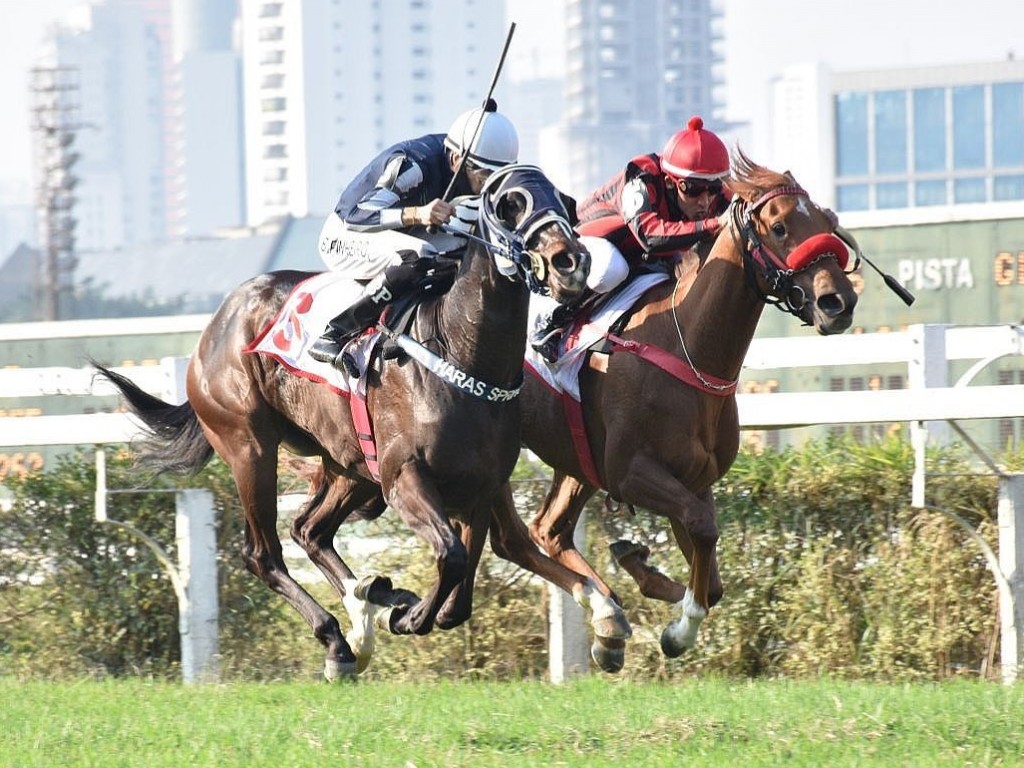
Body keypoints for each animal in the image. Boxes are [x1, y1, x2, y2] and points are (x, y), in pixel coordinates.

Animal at [97, 165, 593, 684]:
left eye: (563, 201)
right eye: (508, 204)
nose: (570, 263)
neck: (460, 350)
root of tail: (218, 322)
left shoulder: (479, 487)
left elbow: (460, 592)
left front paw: (405, 606)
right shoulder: (404, 477)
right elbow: (451, 555)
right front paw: (410, 617)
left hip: (349, 463)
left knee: (310, 530)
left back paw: (370, 599)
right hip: (250, 448)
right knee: (264, 554)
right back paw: (338, 637)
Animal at [487, 151, 864, 671]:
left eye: (828, 222)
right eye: (779, 226)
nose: (838, 302)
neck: (682, 342)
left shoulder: (692, 479)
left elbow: (710, 567)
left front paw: (646, 575)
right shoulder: (632, 473)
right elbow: (703, 531)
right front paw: (679, 629)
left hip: (574, 461)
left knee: (549, 530)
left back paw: (607, 622)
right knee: (513, 538)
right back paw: (606, 613)